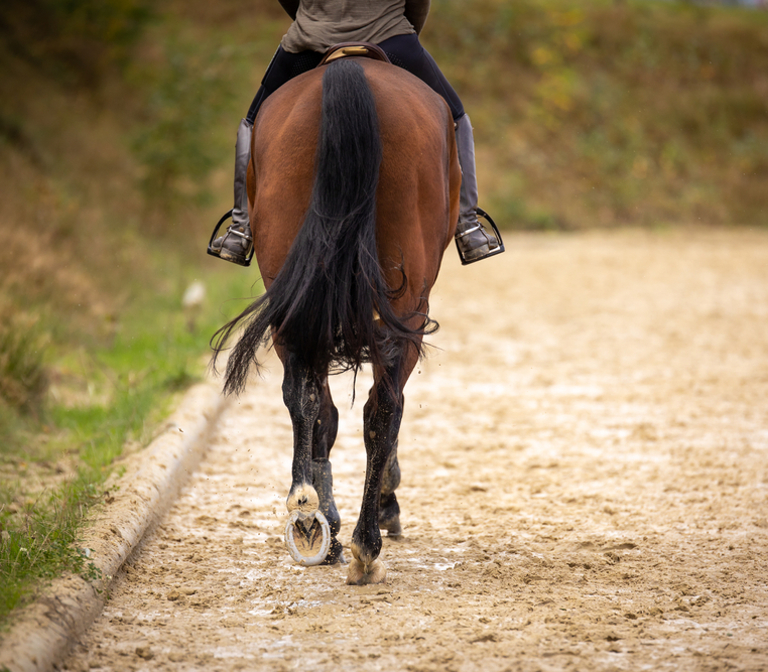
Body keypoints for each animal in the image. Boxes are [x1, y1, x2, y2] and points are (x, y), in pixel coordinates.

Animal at [213, 55, 460, 584]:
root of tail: (348, 69)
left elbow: (319, 410)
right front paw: (385, 502)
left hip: (294, 298)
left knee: (307, 399)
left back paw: (309, 518)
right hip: (408, 308)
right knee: (382, 408)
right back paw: (366, 542)